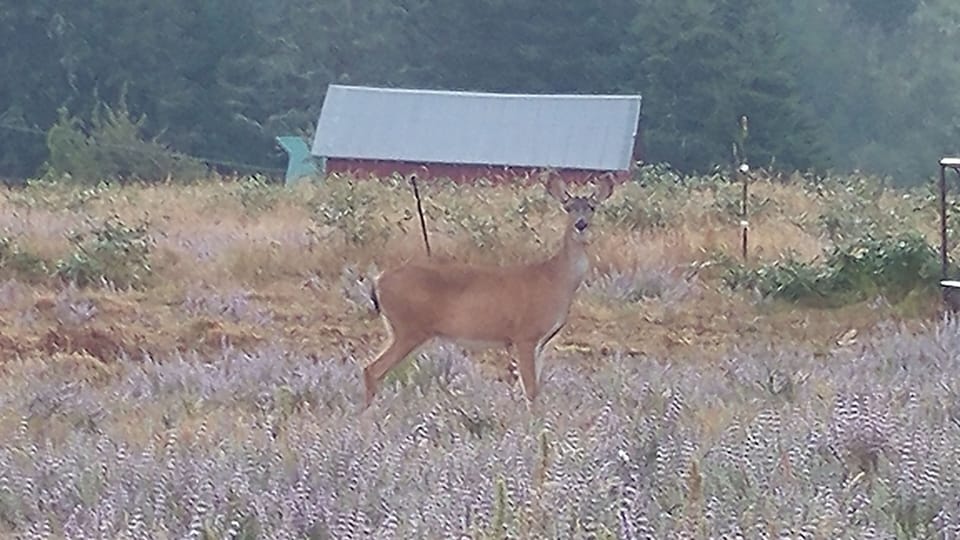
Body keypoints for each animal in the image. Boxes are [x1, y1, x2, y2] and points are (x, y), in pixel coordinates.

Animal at [361, 172, 615, 409]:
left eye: (592, 208)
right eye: (568, 207)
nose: (581, 224)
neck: (556, 278)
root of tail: (379, 280)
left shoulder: (542, 341)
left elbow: (536, 389)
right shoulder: (525, 334)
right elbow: (530, 390)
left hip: (399, 329)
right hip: (409, 328)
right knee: (372, 370)